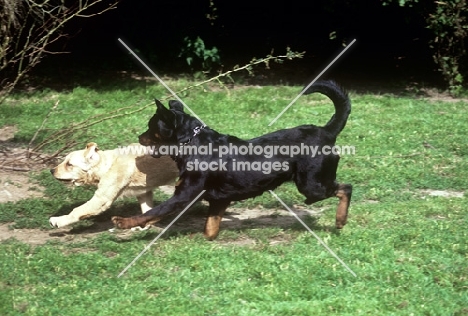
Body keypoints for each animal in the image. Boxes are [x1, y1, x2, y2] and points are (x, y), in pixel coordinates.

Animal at [112, 79, 352, 239]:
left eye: (151, 127)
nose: (139, 137)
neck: (192, 142)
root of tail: (327, 131)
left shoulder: (184, 195)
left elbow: (152, 213)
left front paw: (123, 222)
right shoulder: (219, 199)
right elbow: (210, 228)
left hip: (311, 184)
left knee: (345, 188)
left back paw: (340, 220)